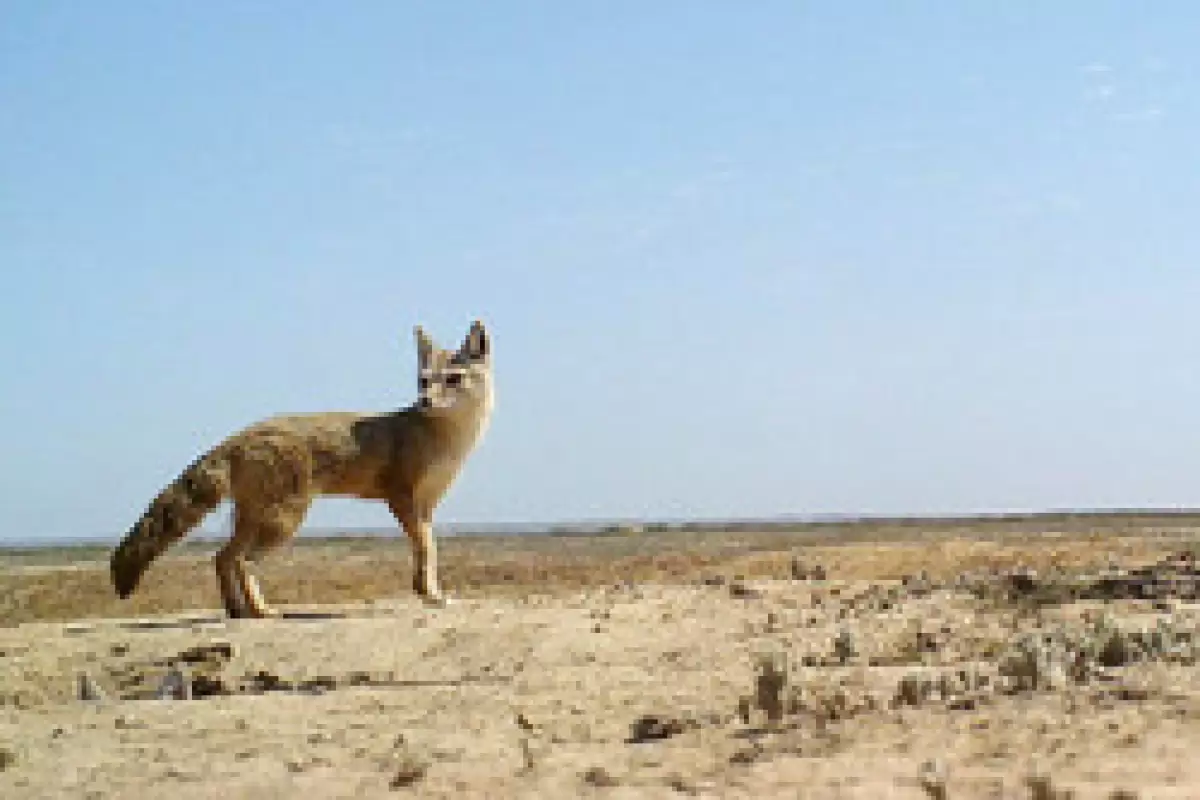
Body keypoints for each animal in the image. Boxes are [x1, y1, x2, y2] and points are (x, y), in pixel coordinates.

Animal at [109, 319, 492, 618]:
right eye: (423, 381)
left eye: (453, 379)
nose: (425, 400)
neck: (445, 437)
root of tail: (241, 434)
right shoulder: (400, 498)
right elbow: (427, 548)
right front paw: (428, 594)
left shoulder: (426, 505)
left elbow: (428, 550)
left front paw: (431, 592)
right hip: (284, 521)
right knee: (242, 560)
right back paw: (261, 610)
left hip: (256, 519)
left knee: (222, 557)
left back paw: (237, 610)